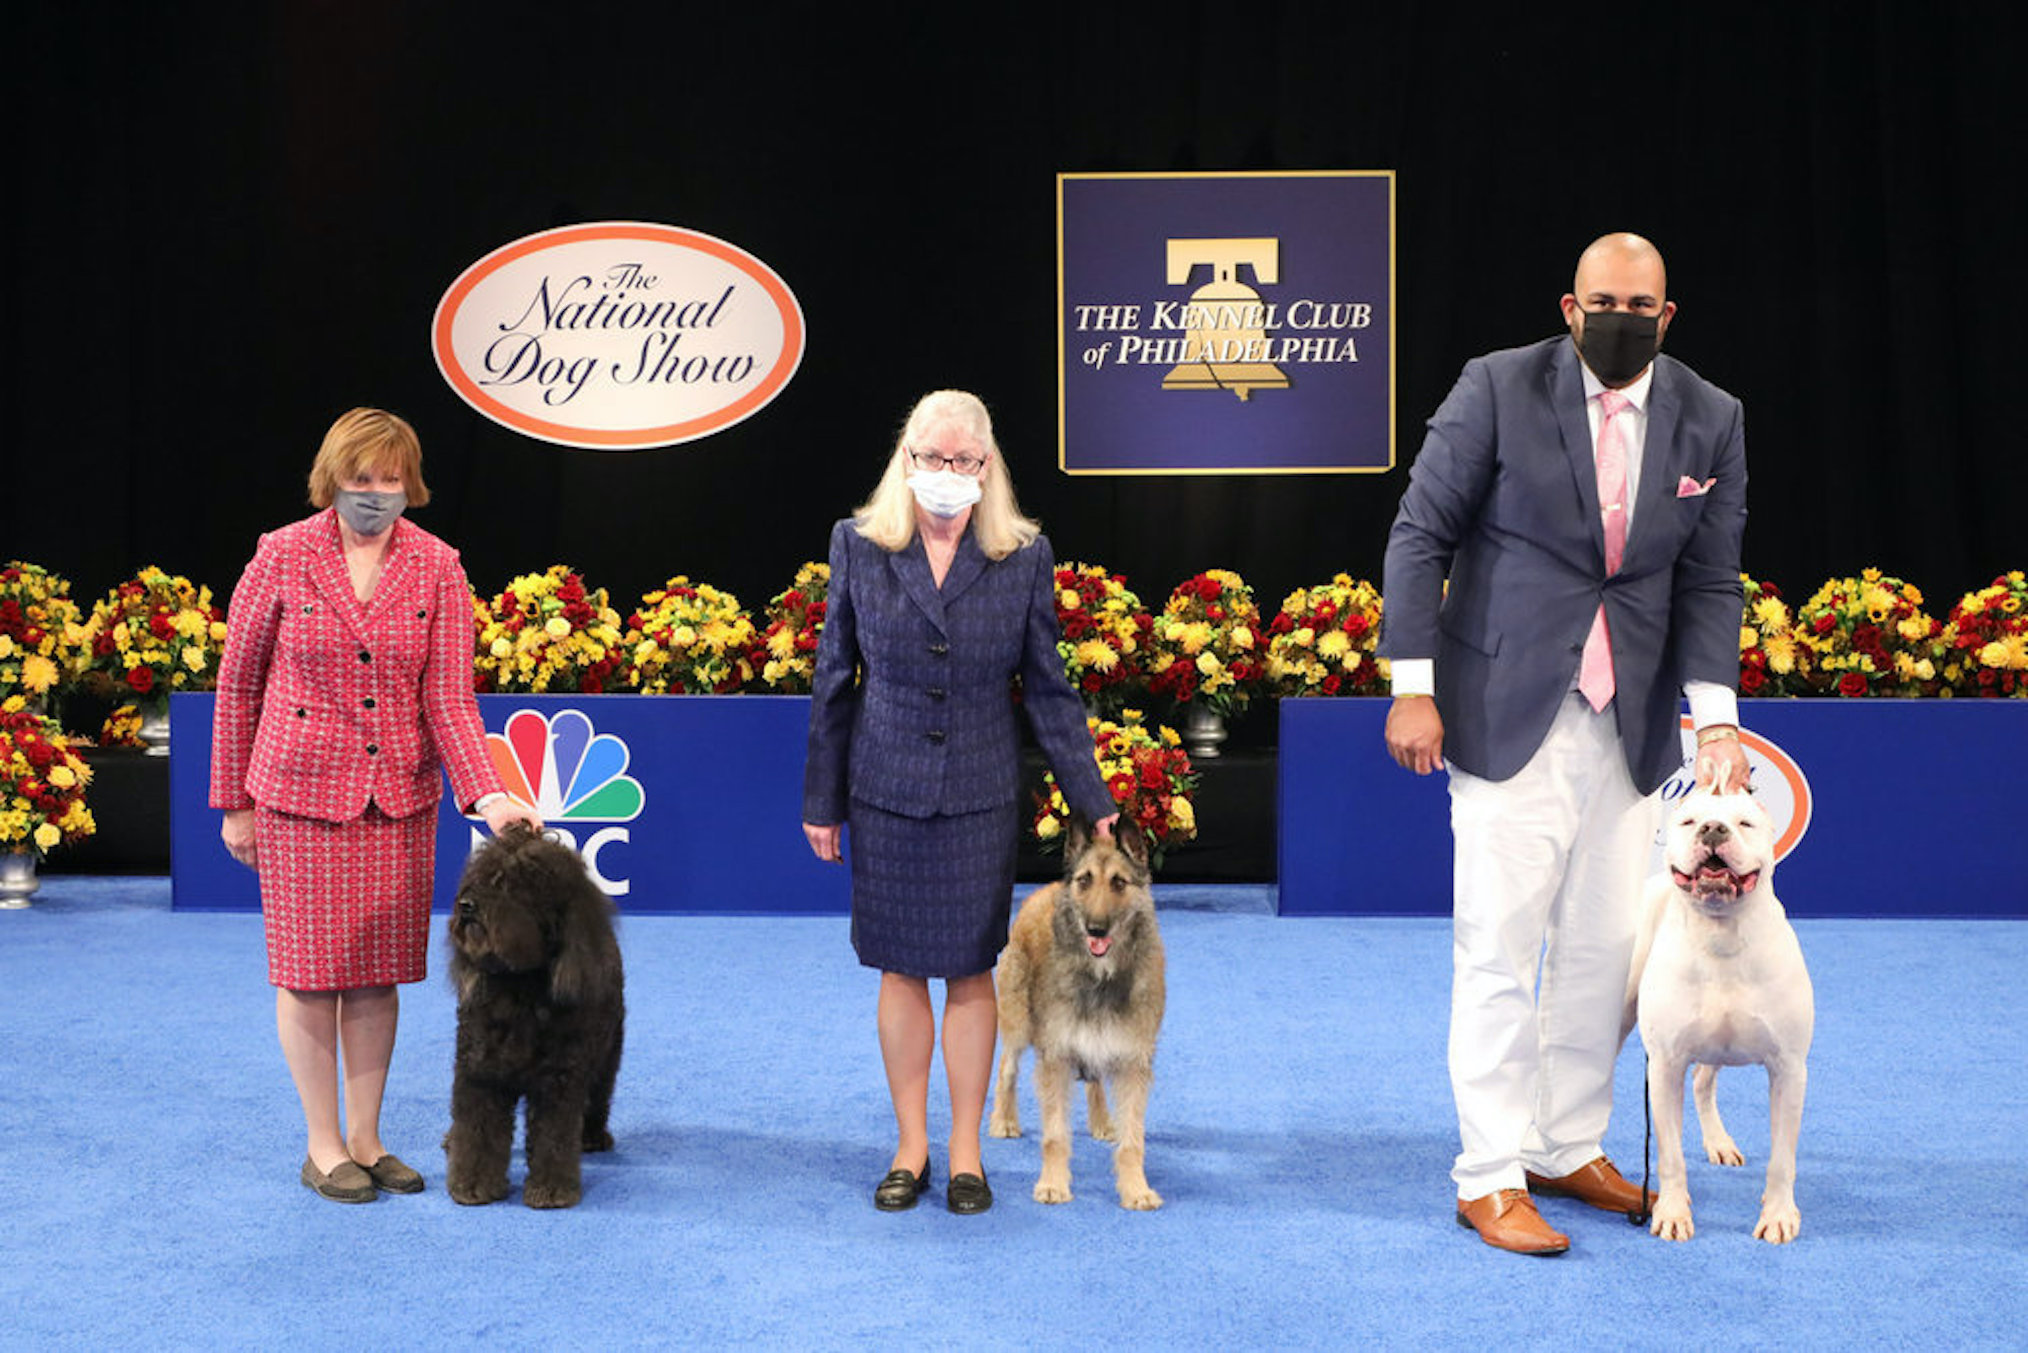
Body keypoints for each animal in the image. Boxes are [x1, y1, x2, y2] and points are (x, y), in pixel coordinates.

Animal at [446, 819, 620, 1208]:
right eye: (480, 875)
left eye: (516, 884)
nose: (466, 905)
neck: (519, 988)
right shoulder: (480, 1074)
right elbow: (477, 1132)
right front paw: (473, 1184)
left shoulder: (559, 1081)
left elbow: (553, 1139)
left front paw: (552, 1189)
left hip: (606, 1055)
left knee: (598, 1097)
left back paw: (593, 1136)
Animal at [1622, 787, 1817, 1241]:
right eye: (1689, 822)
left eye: (1744, 823)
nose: (1713, 828)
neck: (1721, 932)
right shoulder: (1664, 1066)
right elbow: (1670, 1155)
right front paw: (1673, 1213)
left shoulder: (1789, 1069)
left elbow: (1782, 1159)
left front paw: (1778, 1215)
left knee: (1702, 1083)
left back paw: (1720, 1142)